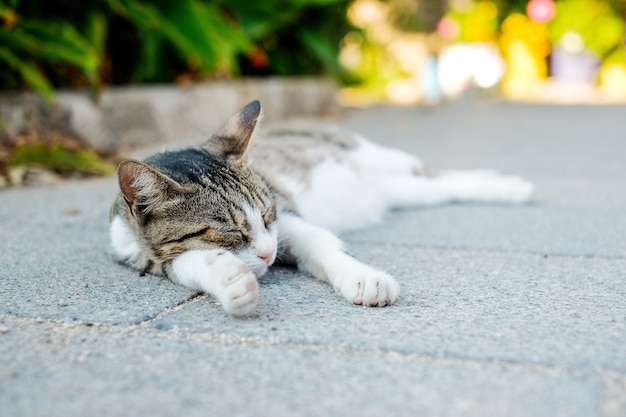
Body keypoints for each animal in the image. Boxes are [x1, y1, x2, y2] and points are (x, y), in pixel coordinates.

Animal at [111, 100, 532, 316]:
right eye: (229, 232)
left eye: (268, 215)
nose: (268, 255)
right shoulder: (145, 258)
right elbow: (191, 262)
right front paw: (230, 280)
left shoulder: (290, 219)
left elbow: (323, 245)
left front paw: (363, 277)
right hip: (400, 190)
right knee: (435, 185)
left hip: (380, 157)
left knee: (435, 172)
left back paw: (510, 186)